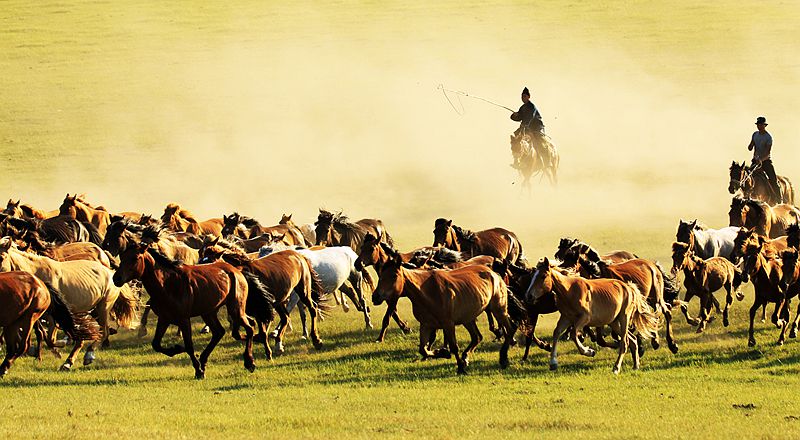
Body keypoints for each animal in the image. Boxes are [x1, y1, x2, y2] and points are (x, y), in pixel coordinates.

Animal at [0, 239, 139, 370]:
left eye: (1, 257)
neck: (37, 274)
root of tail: (111, 272)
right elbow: (42, 335)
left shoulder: (53, 315)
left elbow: (49, 338)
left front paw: (59, 346)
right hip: (88, 311)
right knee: (87, 336)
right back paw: (68, 362)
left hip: (103, 307)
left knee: (103, 332)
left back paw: (88, 355)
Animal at [374, 246, 516, 372]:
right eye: (381, 275)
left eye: (394, 276)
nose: (375, 297)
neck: (427, 291)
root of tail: (494, 273)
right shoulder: (426, 325)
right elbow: (423, 349)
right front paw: (442, 353)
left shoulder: (448, 324)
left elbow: (453, 346)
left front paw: (460, 368)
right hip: (468, 319)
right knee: (477, 337)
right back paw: (466, 357)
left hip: (498, 310)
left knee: (509, 329)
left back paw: (503, 358)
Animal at [520, 258, 660, 374]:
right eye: (533, 276)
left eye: (543, 276)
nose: (528, 296)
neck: (569, 291)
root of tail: (628, 287)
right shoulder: (566, 318)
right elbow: (556, 333)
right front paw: (553, 363)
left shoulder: (583, 319)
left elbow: (573, 334)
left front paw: (589, 351)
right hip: (614, 322)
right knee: (633, 340)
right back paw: (636, 365)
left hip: (623, 318)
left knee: (624, 343)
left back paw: (616, 368)